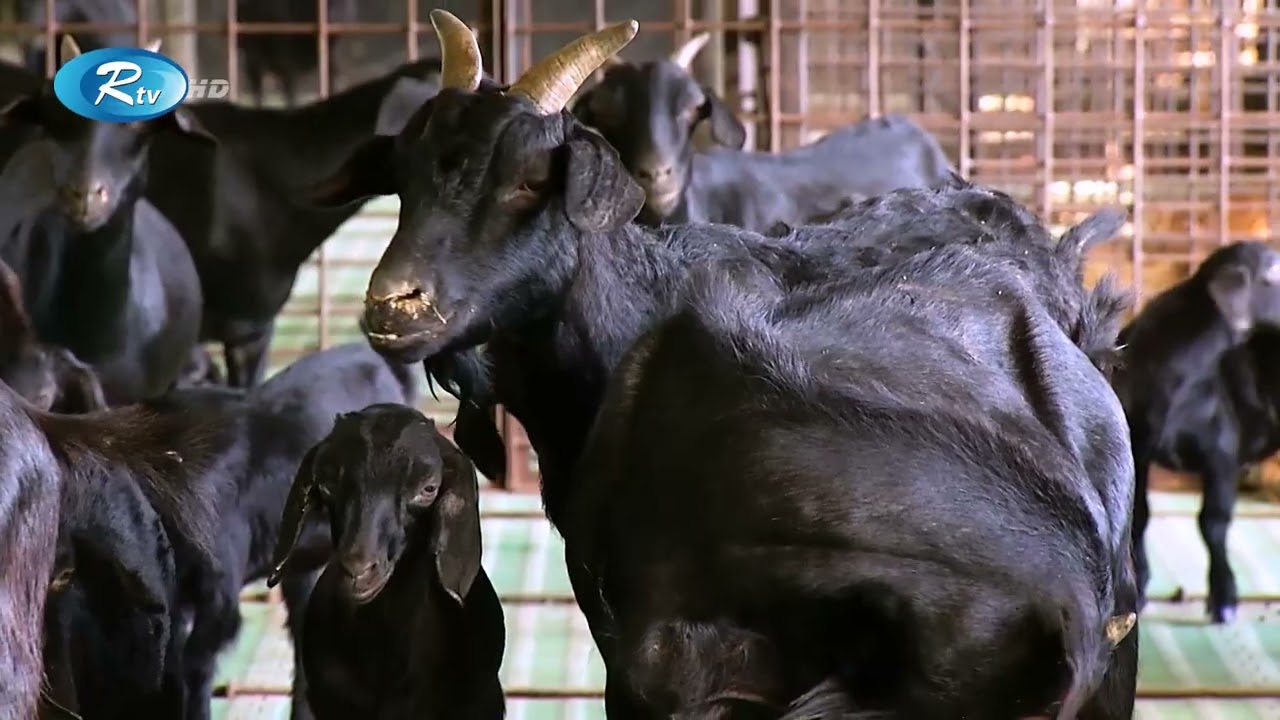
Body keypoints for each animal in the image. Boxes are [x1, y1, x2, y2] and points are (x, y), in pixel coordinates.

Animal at [1112, 241, 1280, 624]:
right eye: (1273, 276)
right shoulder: (1138, 448)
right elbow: (1139, 516)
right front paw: (1140, 586)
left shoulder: (1222, 453)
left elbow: (1213, 522)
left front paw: (1224, 598)